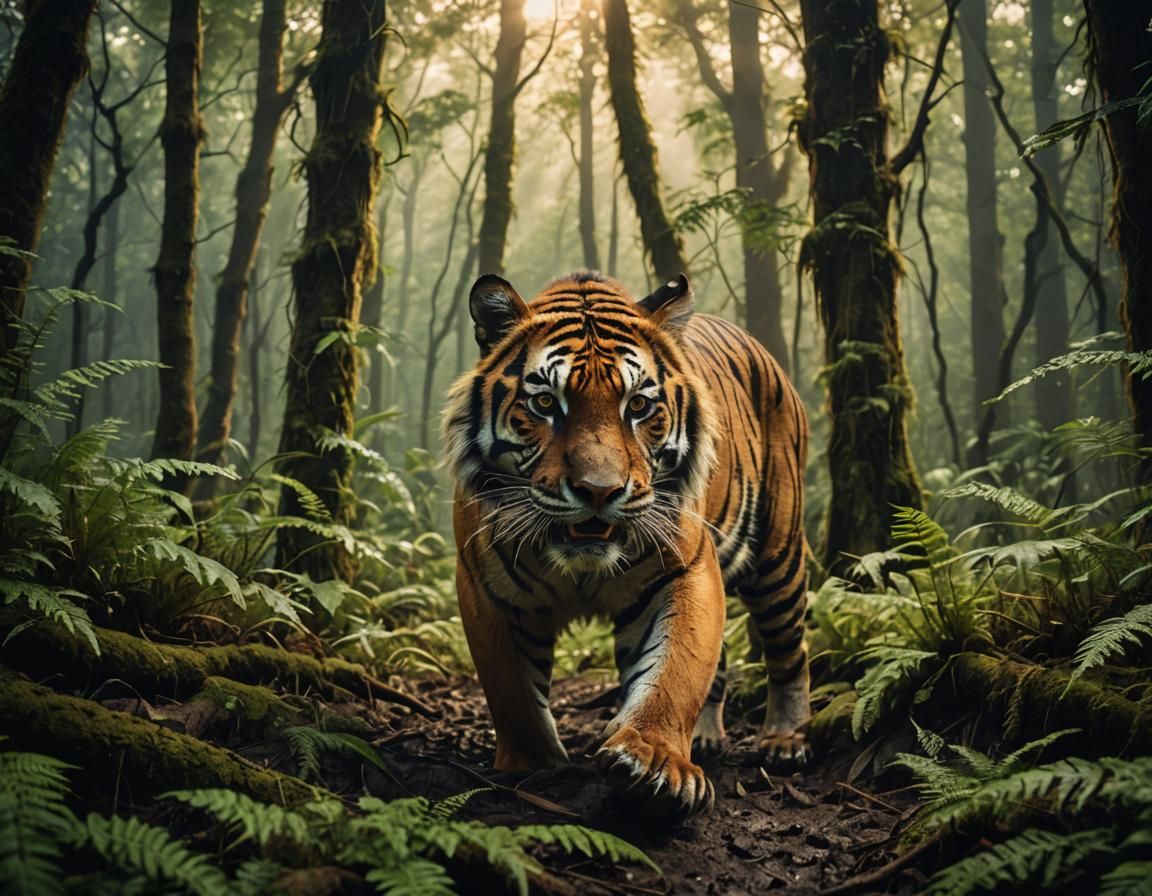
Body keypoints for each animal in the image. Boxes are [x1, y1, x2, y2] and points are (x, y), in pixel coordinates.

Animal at [443, 270, 810, 818]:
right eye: (545, 403)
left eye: (637, 405)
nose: (599, 491)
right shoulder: (484, 584)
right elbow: (511, 686)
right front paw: (532, 762)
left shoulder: (686, 569)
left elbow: (675, 672)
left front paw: (655, 765)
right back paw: (707, 738)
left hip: (778, 556)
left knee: (790, 650)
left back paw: (785, 741)